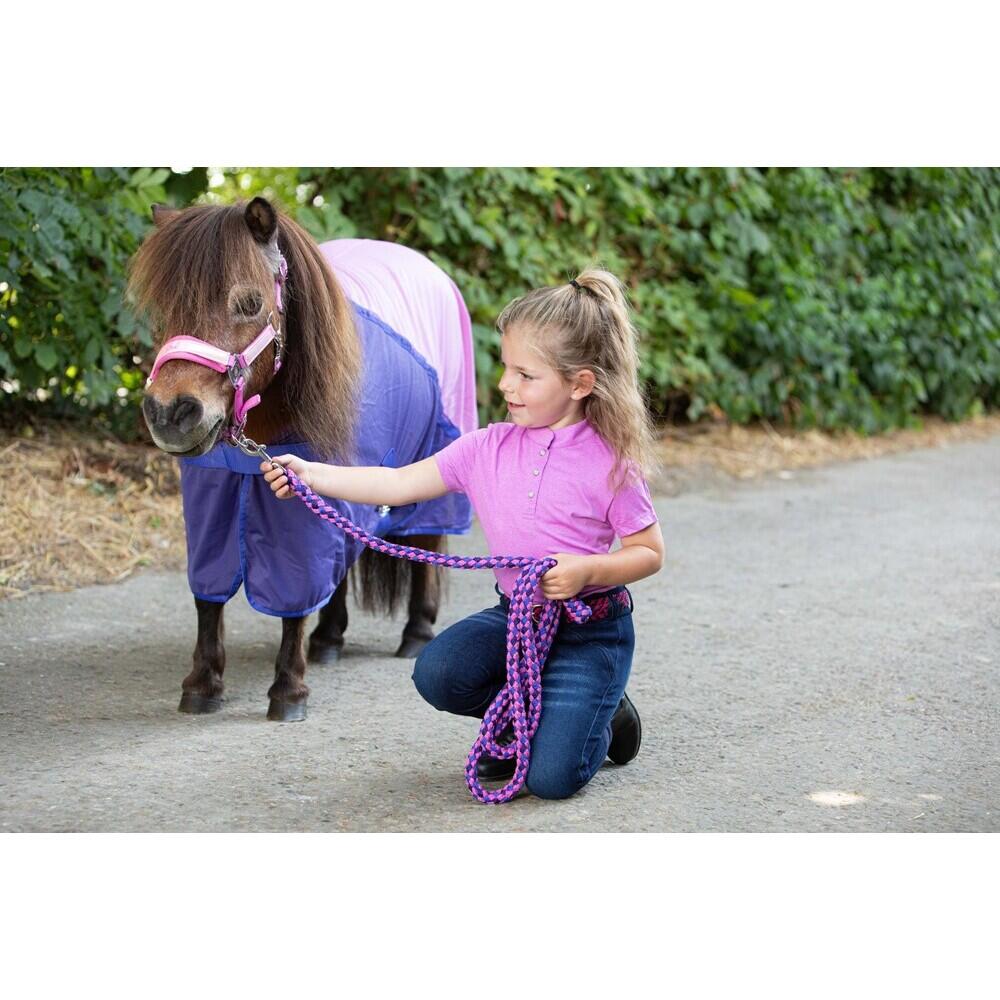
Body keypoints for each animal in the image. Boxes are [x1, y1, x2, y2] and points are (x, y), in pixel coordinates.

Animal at [128, 197, 475, 721]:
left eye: (250, 303)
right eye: (166, 307)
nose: (170, 413)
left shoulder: (296, 511)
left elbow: (294, 595)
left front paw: (288, 689)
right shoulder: (215, 499)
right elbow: (208, 596)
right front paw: (202, 684)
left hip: (432, 461)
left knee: (425, 542)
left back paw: (416, 632)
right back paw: (329, 639)